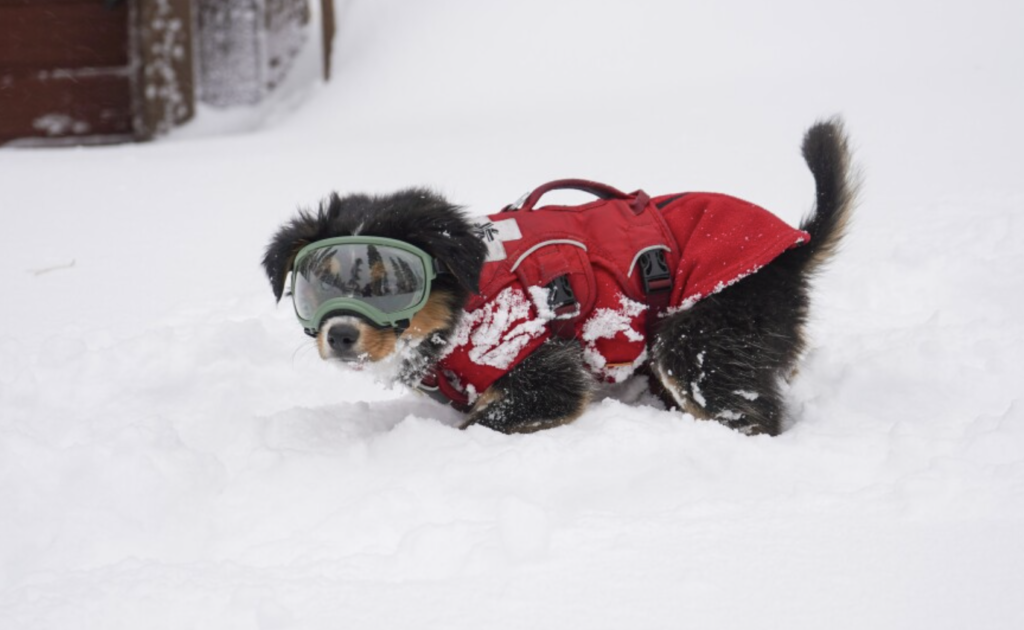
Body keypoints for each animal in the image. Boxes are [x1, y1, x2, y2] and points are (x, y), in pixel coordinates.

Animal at [264, 118, 856, 436]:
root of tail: (795, 246)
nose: (340, 334)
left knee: (751, 412)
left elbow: (482, 421)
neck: (456, 318)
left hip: (698, 340)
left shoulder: (545, 373)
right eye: (320, 285)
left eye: (389, 284)